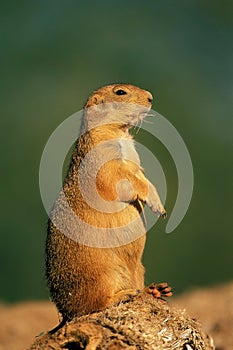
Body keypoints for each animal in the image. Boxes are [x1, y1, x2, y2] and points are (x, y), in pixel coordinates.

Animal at [46, 83, 173, 322]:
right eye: (120, 92)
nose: (151, 98)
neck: (119, 132)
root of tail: (64, 313)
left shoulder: (135, 160)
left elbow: (142, 177)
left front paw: (160, 207)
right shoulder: (104, 159)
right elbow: (123, 181)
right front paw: (155, 205)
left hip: (138, 269)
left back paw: (155, 290)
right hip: (100, 276)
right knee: (92, 305)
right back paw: (124, 295)